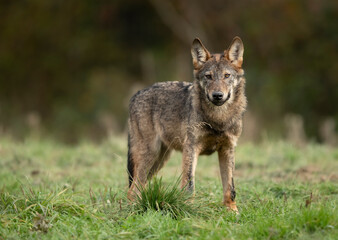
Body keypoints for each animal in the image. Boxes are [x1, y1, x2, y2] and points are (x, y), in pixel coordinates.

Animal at [127, 36, 246, 211]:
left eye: (226, 75)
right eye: (208, 76)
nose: (217, 95)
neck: (218, 118)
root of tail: (135, 95)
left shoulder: (228, 149)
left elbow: (230, 188)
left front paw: (232, 211)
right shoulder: (191, 148)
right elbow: (189, 184)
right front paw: (189, 209)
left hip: (160, 159)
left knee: (136, 187)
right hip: (150, 155)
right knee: (133, 189)